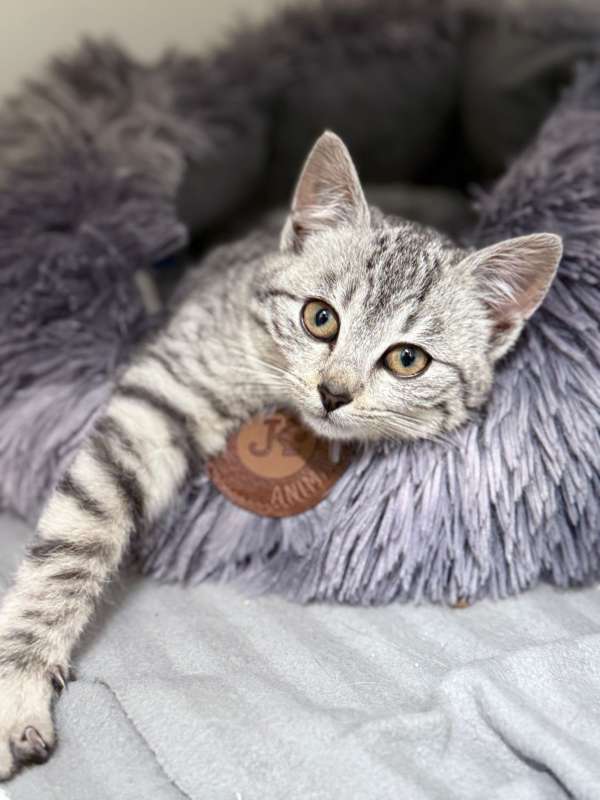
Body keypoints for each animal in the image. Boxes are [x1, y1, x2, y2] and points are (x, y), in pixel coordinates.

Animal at [0, 131, 562, 780]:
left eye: (407, 359)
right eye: (320, 317)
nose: (333, 393)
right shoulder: (162, 394)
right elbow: (78, 533)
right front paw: (19, 680)